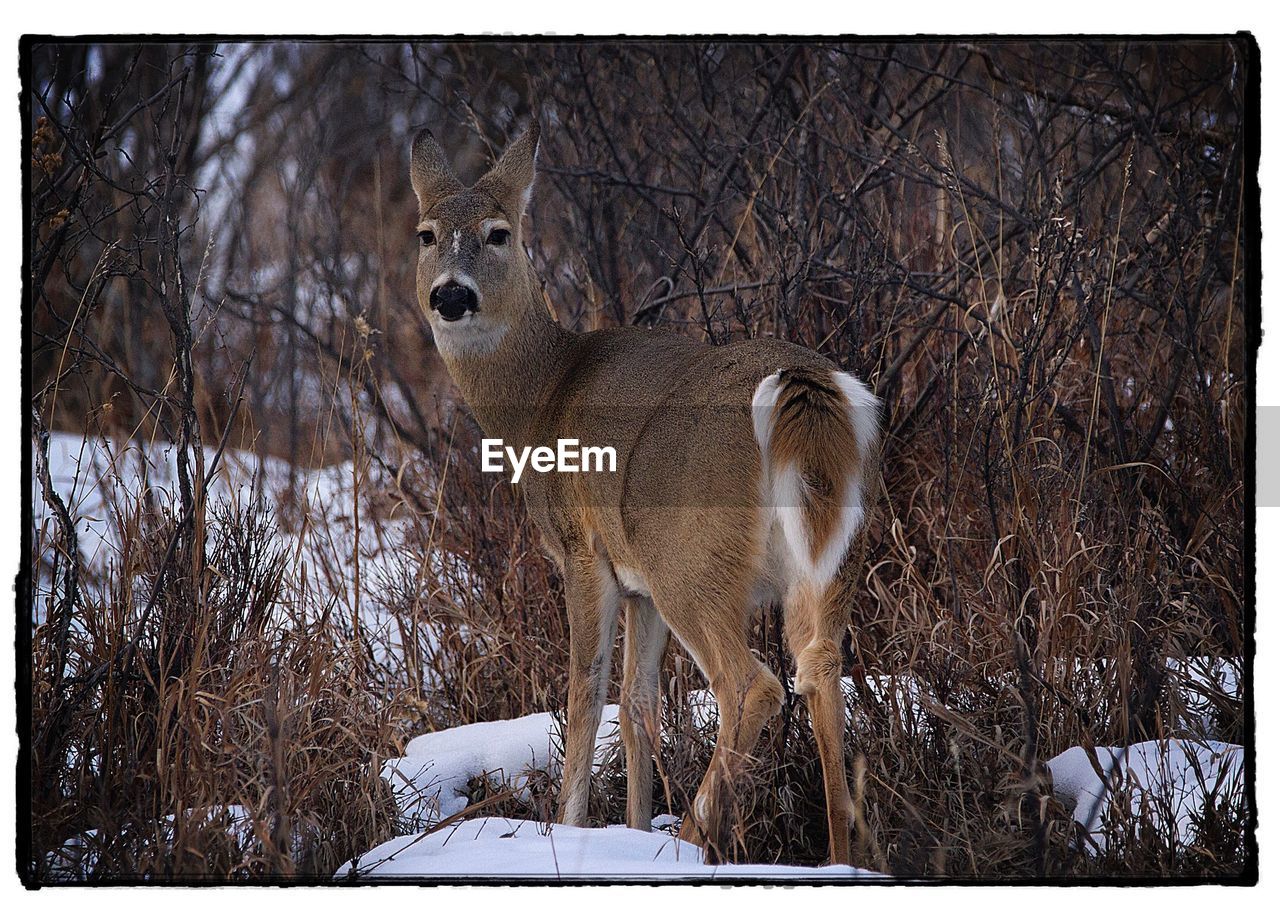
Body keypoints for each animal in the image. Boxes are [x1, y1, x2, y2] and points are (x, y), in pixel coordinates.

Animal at [407, 117, 880, 865]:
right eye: (426, 233)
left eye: (499, 231)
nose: (451, 296)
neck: (543, 397)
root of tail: (802, 390)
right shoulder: (637, 588)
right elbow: (637, 707)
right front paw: (628, 826)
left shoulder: (584, 551)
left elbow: (585, 694)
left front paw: (571, 831)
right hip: (833, 556)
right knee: (818, 668)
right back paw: (836, 858)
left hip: (690, 558)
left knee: (753, 684)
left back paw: (689, 841)